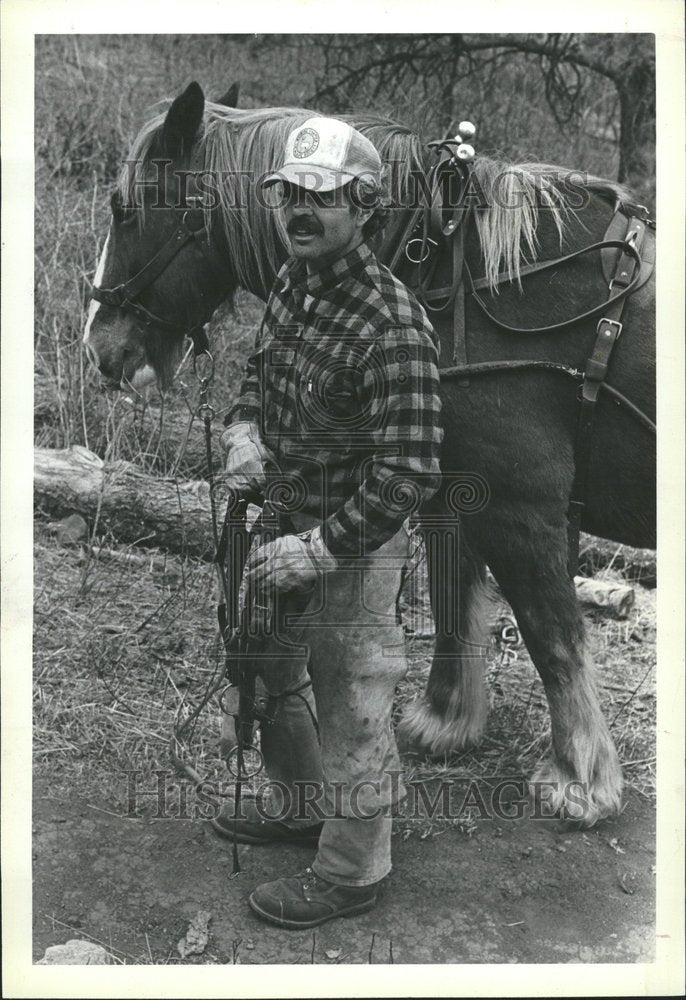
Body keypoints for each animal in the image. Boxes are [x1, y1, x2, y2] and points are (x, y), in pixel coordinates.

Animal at [83, 82, 660, 824]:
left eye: (126, 208)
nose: (99, 347)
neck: (448, 268)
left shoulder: (519, 505)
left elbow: (552, 634)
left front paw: (579, 778)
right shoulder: (454, 488)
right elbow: (454, 602)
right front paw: (446, 721)